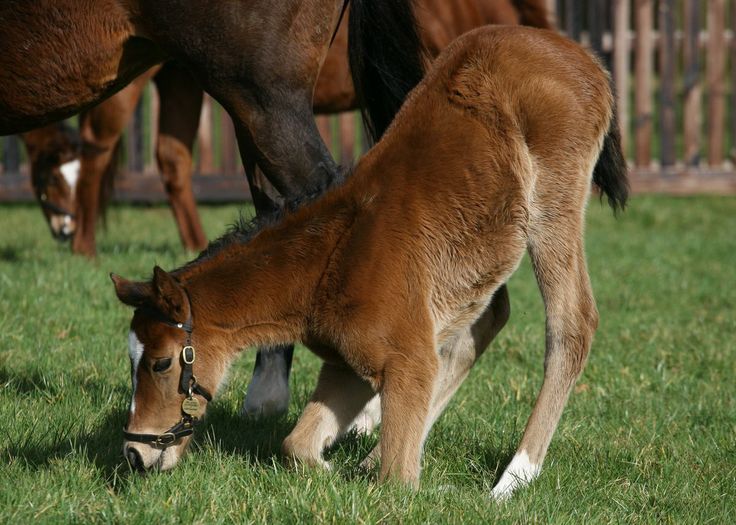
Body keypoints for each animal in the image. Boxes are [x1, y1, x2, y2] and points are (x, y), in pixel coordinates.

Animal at [109, 25, 628, 500]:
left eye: (160, 363)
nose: (134, 453)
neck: (326, 264)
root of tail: (583, 57)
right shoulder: (350, 364)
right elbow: (296, 446)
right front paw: (339, 465)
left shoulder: (405, 358)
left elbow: (397, 484)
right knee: (483, 321)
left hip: (555, 203)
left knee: (571, 323)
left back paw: (514, 477)